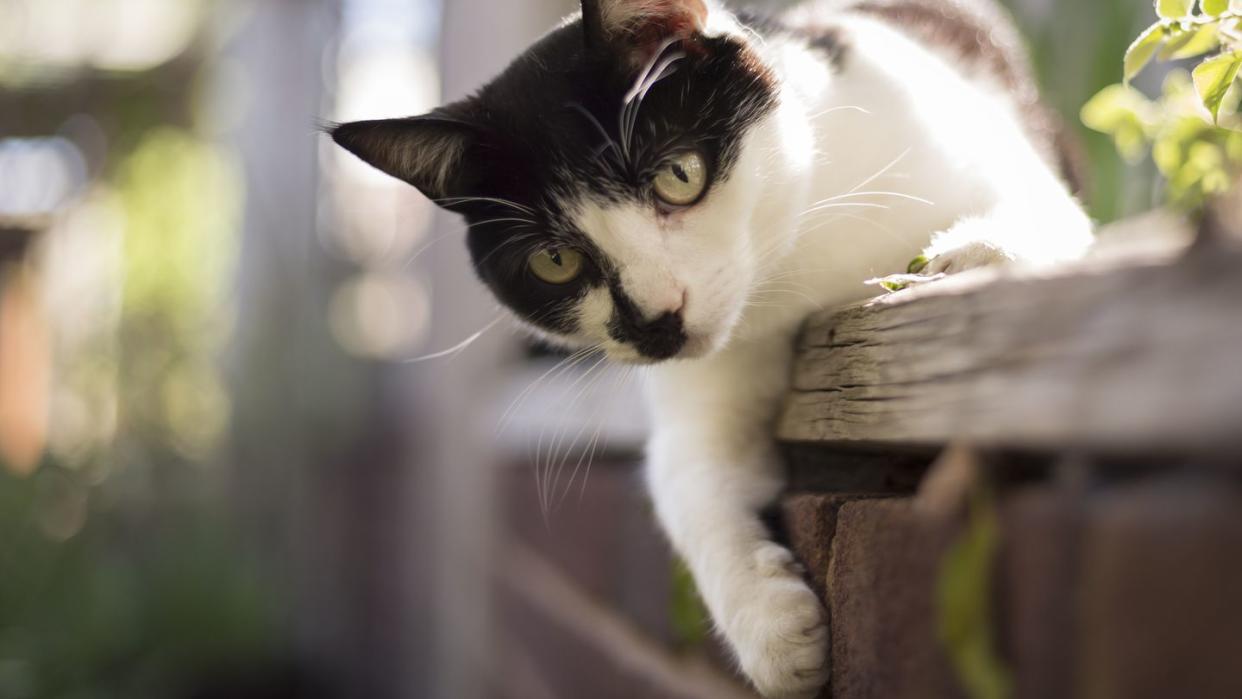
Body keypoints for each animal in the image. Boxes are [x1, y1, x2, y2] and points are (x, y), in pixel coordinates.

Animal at [327, 2, 1087, 695]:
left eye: (679, 176)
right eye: (553, 261)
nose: (655, 321)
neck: (794, 258)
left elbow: (1044, 216)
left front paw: (969, 252)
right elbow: (689, 474)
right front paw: (775, 631)